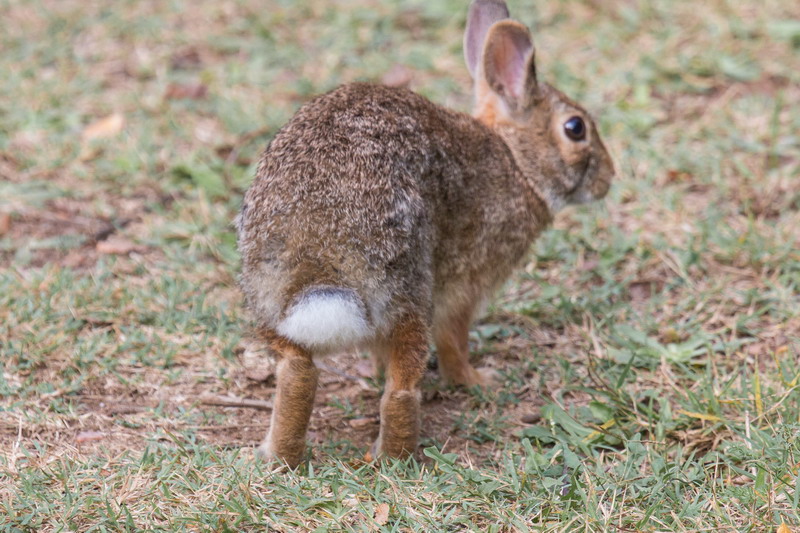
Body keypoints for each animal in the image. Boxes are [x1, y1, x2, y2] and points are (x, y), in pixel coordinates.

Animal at [234, 0, 616, 466]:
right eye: (575, 128)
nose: (609, 178)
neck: (517, 161)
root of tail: (318, 247)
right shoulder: (465, 285)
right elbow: (453, 339)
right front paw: (474, 380)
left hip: (270, 294)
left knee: (297, 369)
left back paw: (275, 455)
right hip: (407, 286)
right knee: (401, 388)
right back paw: (394, 458)